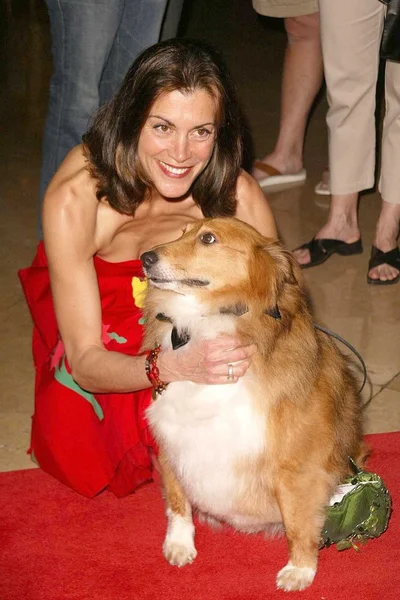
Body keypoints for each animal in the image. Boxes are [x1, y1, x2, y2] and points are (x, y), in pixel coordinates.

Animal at [139, 216, 364, 592]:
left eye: (208, 239)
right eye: (182, 232)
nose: (145, 257)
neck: (210, 319)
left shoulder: (296, 464)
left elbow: (298, 522)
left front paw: (300, 569)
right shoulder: (171, 438)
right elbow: (177, 500)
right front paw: (179, 544)